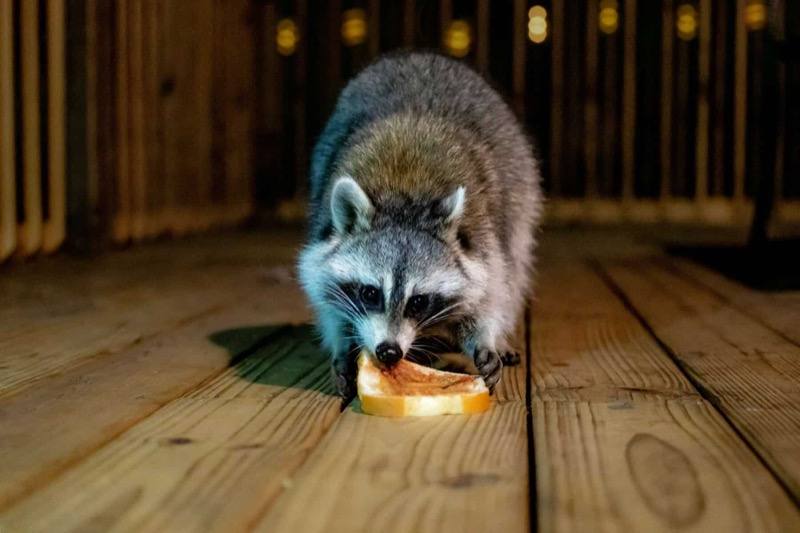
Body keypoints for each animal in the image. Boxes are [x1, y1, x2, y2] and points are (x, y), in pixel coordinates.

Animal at [298, 52, 542, 400]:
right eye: (370, 293)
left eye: (418, 302)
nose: (388, 352)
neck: (404, 200)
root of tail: (417, 55)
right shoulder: (322, 239)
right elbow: (325, 294)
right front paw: (342, 345)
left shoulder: (483, 239)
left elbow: (490, 290)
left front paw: (484, 338)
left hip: (521, 186)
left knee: (516, 264)